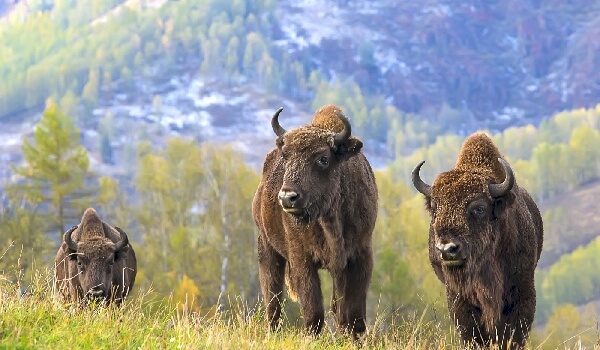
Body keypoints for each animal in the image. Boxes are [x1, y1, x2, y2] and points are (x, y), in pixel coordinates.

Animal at [251, 103, 378, 336]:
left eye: (323, 158)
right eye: (286, 156)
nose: (287, 197)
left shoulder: (360, 256)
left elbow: (354, 316)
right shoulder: (302, 258)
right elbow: (314, 313)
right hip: (267, 247)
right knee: (273, 300)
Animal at [412, 133, 544, 348]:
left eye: (479, 208)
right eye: (434, 208)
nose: (447, 249)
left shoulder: (521, 291)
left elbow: (513, 333)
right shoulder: (459, 299)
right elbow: (472, 333)